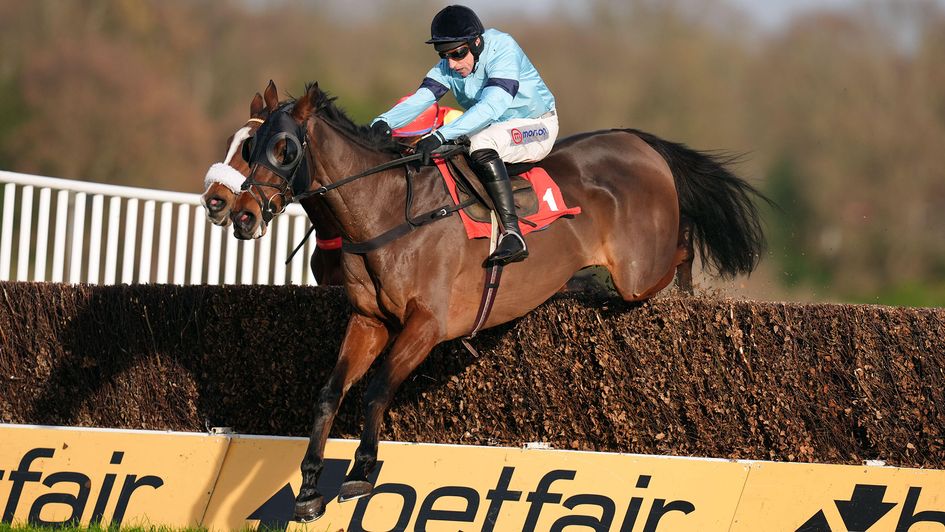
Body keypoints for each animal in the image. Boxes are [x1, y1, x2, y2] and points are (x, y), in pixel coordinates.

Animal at [229, 81, 768, 520]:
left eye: (285, 148)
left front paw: (361, 472)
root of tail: (637, 141)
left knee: (681, 248)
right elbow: (329, 393)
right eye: (251, 146)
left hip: (639, 271)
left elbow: (377, 389)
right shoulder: (369, 321)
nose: (242, 214)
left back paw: (680, 290)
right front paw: (308, 490)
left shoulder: (427, 323)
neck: (387, 212)